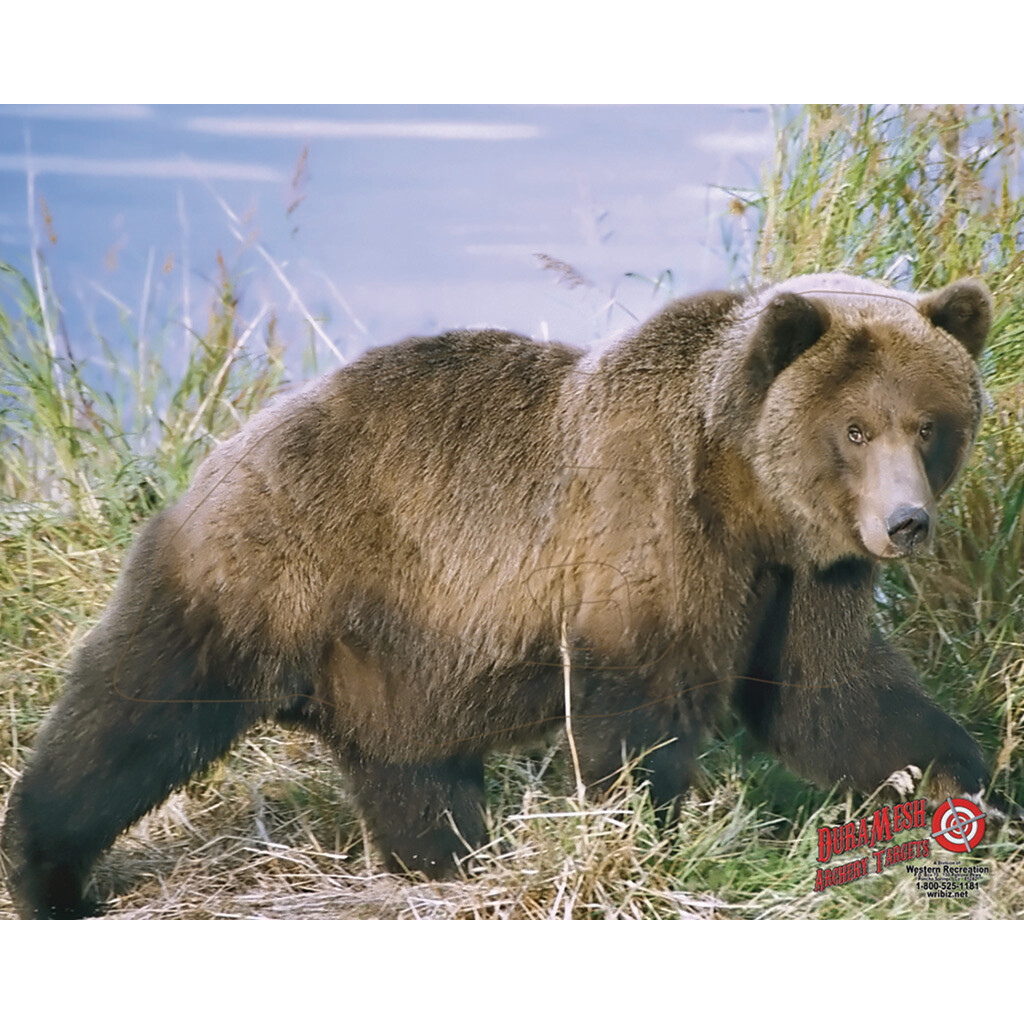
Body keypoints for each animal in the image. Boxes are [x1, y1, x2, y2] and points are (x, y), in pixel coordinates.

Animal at [0, 272, 997, 918]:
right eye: (856, 428)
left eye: (929, 424)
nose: (906, 523)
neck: (745, 492)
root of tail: (221, 447)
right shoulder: (647, 529)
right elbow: (642, 711)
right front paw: (638, 841)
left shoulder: (802, 577)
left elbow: (828, 697)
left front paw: (965, 785)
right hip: (268, 570)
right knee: (133, 713)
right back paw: (46, 869)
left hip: (395, 651)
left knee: (411, 769)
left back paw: (447, 864)